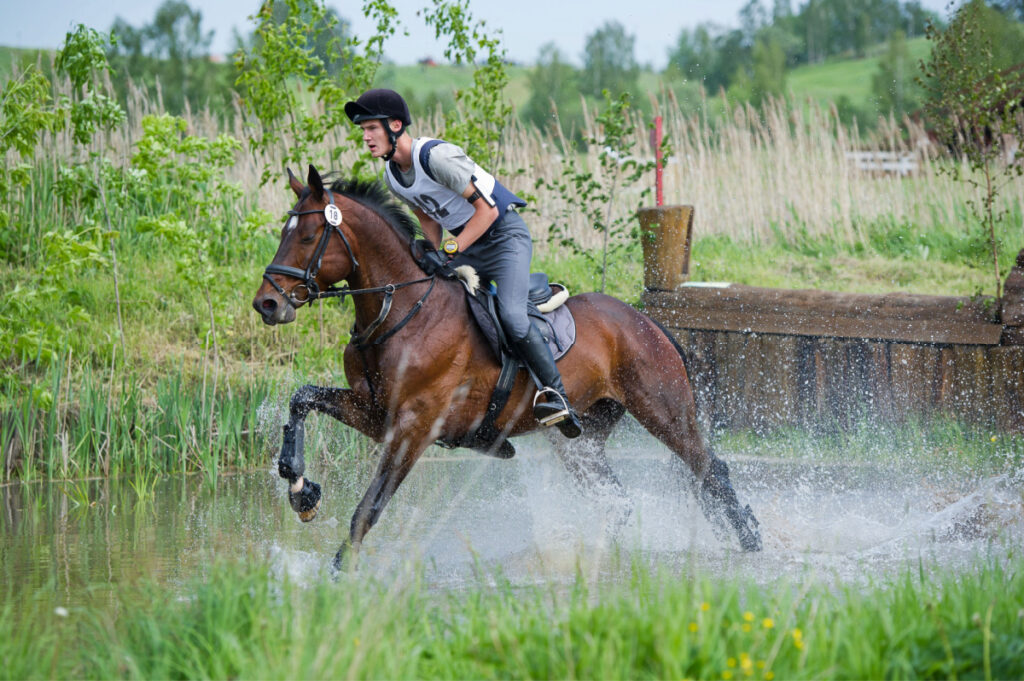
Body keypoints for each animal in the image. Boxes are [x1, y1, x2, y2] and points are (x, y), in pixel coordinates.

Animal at [249, 164, 761, 569]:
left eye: (308, 236)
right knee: (618, 502)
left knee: (710, 468)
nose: (267, 304)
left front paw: (339, 574)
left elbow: (368, 509)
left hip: (663, 410)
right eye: (283, 233)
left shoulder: (414, 428)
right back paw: (589, 554)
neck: (400, 311)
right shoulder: (375, 414)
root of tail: (647, 321)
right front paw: (301, 490)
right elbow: (302, 399)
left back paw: (751, 538)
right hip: (581, 441)